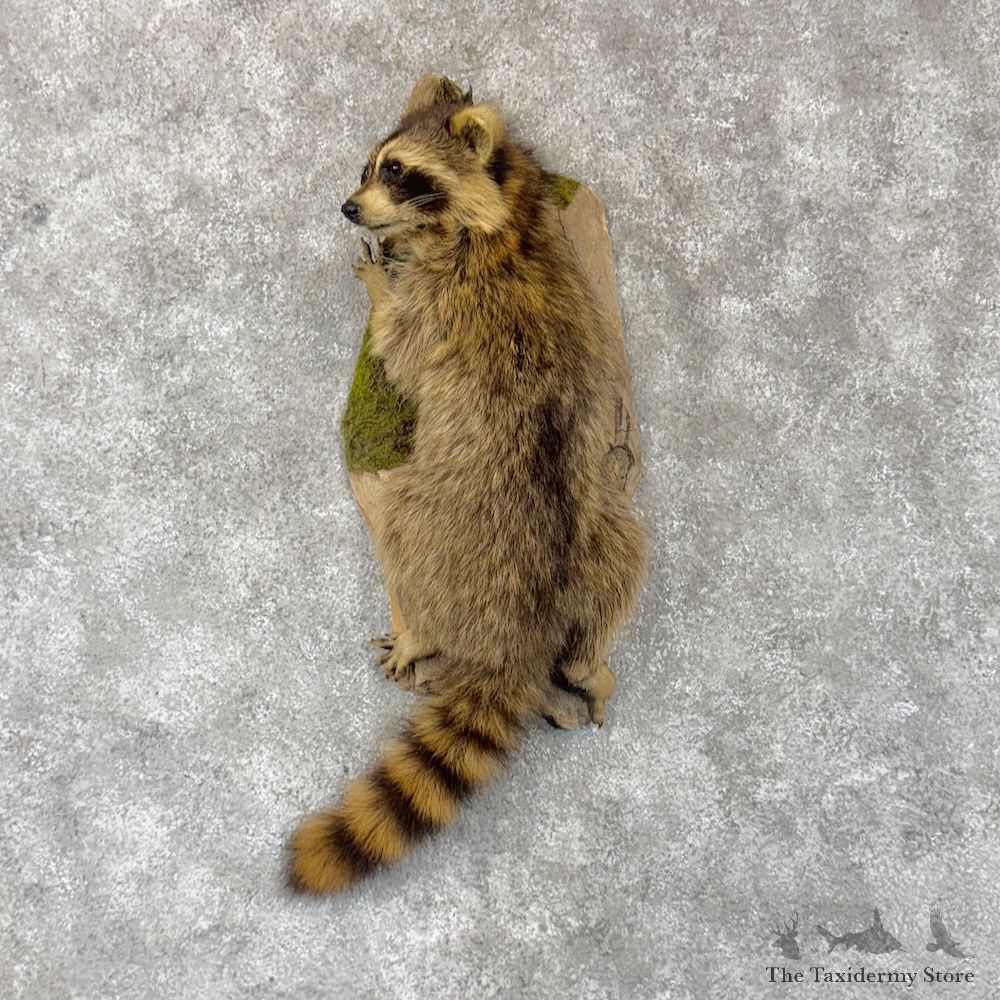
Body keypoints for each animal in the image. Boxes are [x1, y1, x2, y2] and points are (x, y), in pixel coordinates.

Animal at [288, 75, 647, 894]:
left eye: (398, 173)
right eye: (370, 166)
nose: (346, 207)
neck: (505, 216)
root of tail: (518, 637)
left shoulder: (445, 296)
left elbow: (398, 346)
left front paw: (377, 284)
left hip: (435, 522)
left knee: (400, 537)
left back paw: (418, 629)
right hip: (604, 531)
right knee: (626, 547)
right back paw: (592, 669)